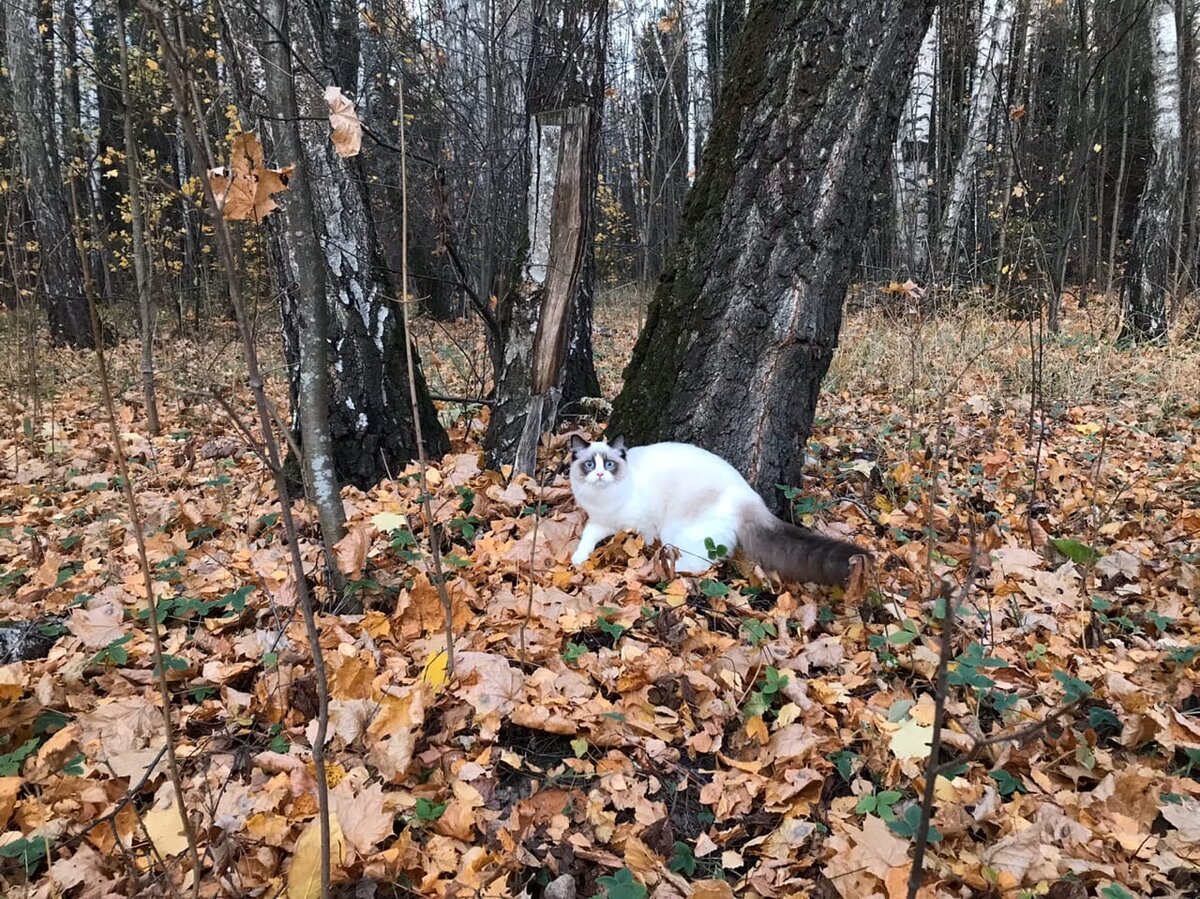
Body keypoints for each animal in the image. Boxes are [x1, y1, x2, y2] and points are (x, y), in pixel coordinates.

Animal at [568, 432, 864, 585]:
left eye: (608, 465)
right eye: (589, 465)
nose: (599, 475)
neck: (605, 498)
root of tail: (750, 498)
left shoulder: (643, 523)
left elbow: (643, 541)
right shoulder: (602, 521)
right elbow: (587, 537)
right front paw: (579, 559)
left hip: (679, 532)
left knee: (701, 563)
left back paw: (662, 570)